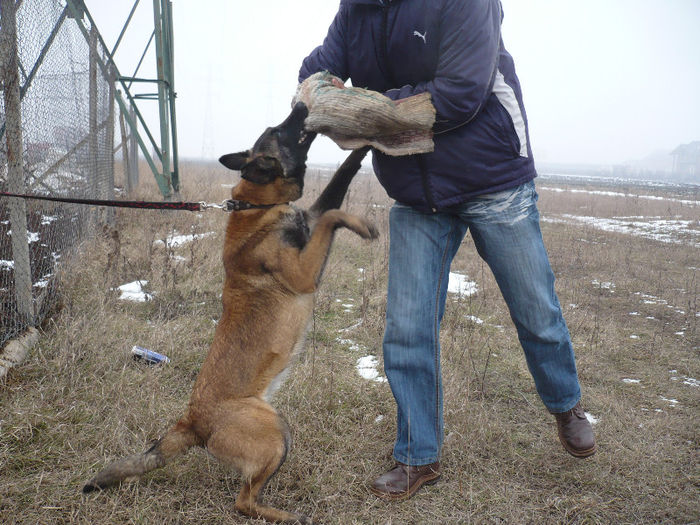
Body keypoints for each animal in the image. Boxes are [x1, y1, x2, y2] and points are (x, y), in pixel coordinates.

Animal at [83, 100, 378, 520]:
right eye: (280, 130)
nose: (300, 104)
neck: (259, 204)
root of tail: (192, 421)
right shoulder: (304, 274)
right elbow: (334, 216)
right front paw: (362, 224)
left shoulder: (310, 219)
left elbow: (339, 181)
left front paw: (362, 148)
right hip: (275, 430)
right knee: (243, 502)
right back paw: (289, 516)